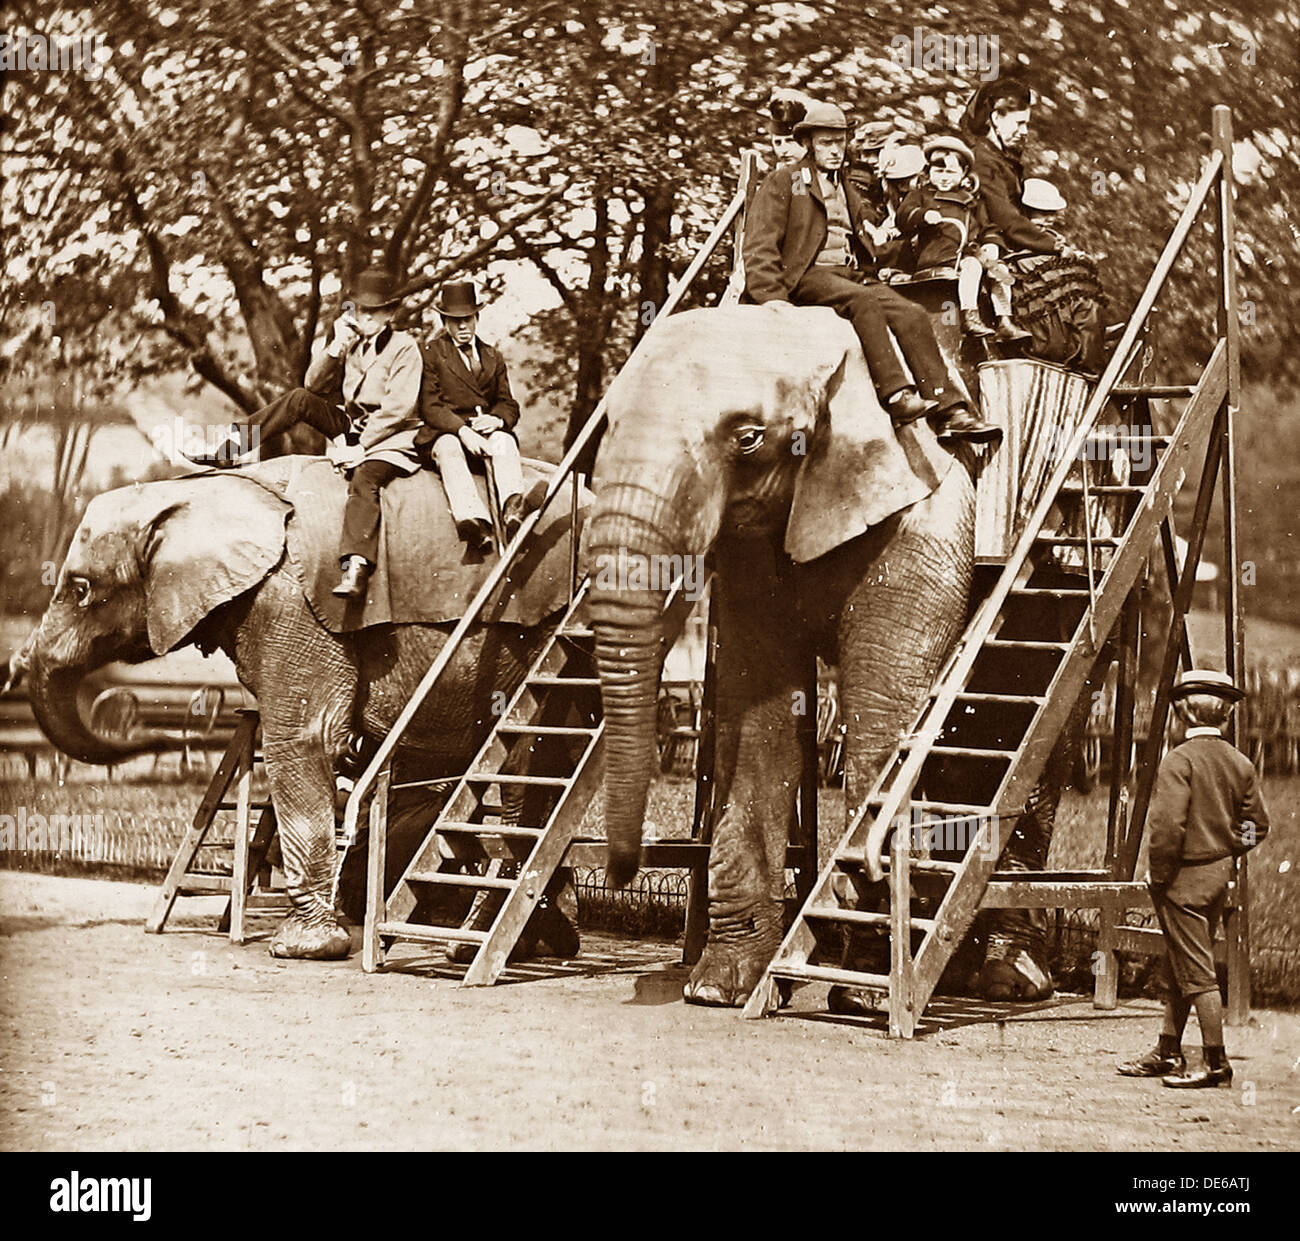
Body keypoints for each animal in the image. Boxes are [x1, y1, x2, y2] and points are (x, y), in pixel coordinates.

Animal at [13, 457, 585, 961]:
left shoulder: (288, 601)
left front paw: (301, 949)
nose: (158, 728)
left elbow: (306, 737)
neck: (201, 491)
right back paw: (526, 942)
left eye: (81, 589)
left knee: (525, 768)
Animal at [590, 302, 1086, 1008]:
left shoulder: (927, 502)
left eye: (747, 439)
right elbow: (761, 714)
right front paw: (722, 985)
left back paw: (1006, 978)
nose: (622, 869)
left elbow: (885, 713)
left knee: (1028, 725)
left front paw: (865, 987)